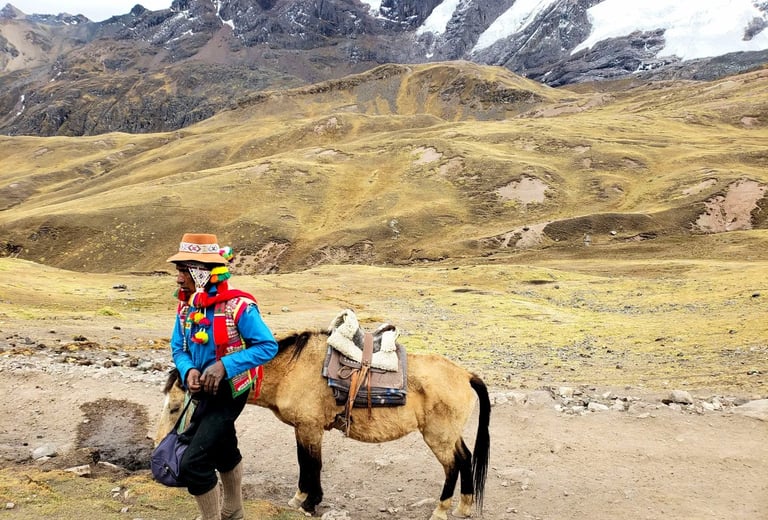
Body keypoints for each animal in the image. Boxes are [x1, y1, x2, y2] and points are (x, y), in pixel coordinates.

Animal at [155, 329, 491, 520]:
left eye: (175, 407)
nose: (157, 449)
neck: (291, 371)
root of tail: (465, 375)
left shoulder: (310, 427)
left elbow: (311, 463)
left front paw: (308, 502)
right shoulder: (302, 428)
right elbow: (305, 463)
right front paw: (302, 499)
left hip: (438, 436)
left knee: (452, 466)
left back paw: (441, 510)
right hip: (449, 435)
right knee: (465, 458)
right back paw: (464, 506)